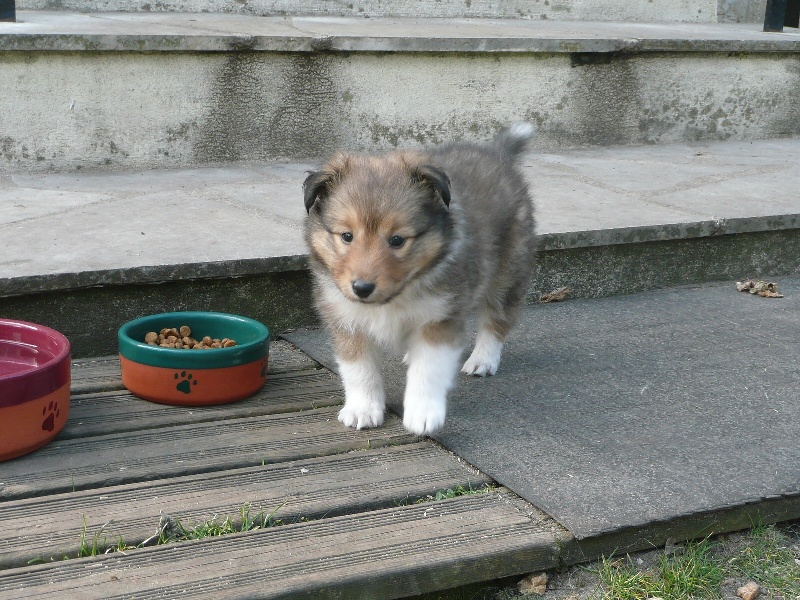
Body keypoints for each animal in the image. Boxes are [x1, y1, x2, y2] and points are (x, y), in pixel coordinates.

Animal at [304, 125, 536, 436]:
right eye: (347, 236)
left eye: (397, 240)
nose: (362, 288)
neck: (396, 297)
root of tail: (496, 153)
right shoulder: (346, 318)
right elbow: (359, 369)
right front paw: (363, 409)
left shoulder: (440, 318)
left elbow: (428, 370)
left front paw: (423, 415)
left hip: (507, 274)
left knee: (497, 321)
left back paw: (483, 360)